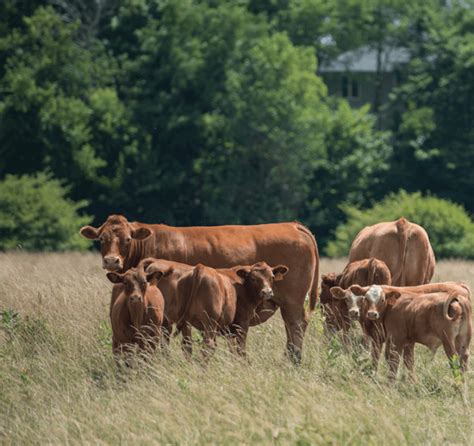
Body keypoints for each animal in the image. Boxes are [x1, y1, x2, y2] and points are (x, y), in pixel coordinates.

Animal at [145, 258, 288, 358]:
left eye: (272, 277)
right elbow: (240, 348)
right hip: (208, 322)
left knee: (184, 345)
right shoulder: (242, 322)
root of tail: (200, 269)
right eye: (253, 279)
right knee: (207, 346)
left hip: (181, 322)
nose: (267, 292)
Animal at [332, 282, 472, 376]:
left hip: (448, 341)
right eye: (347, 299)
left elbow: (381, 358)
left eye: (362, 299)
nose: (354, 312)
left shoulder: (380, 338)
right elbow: (406, 361)